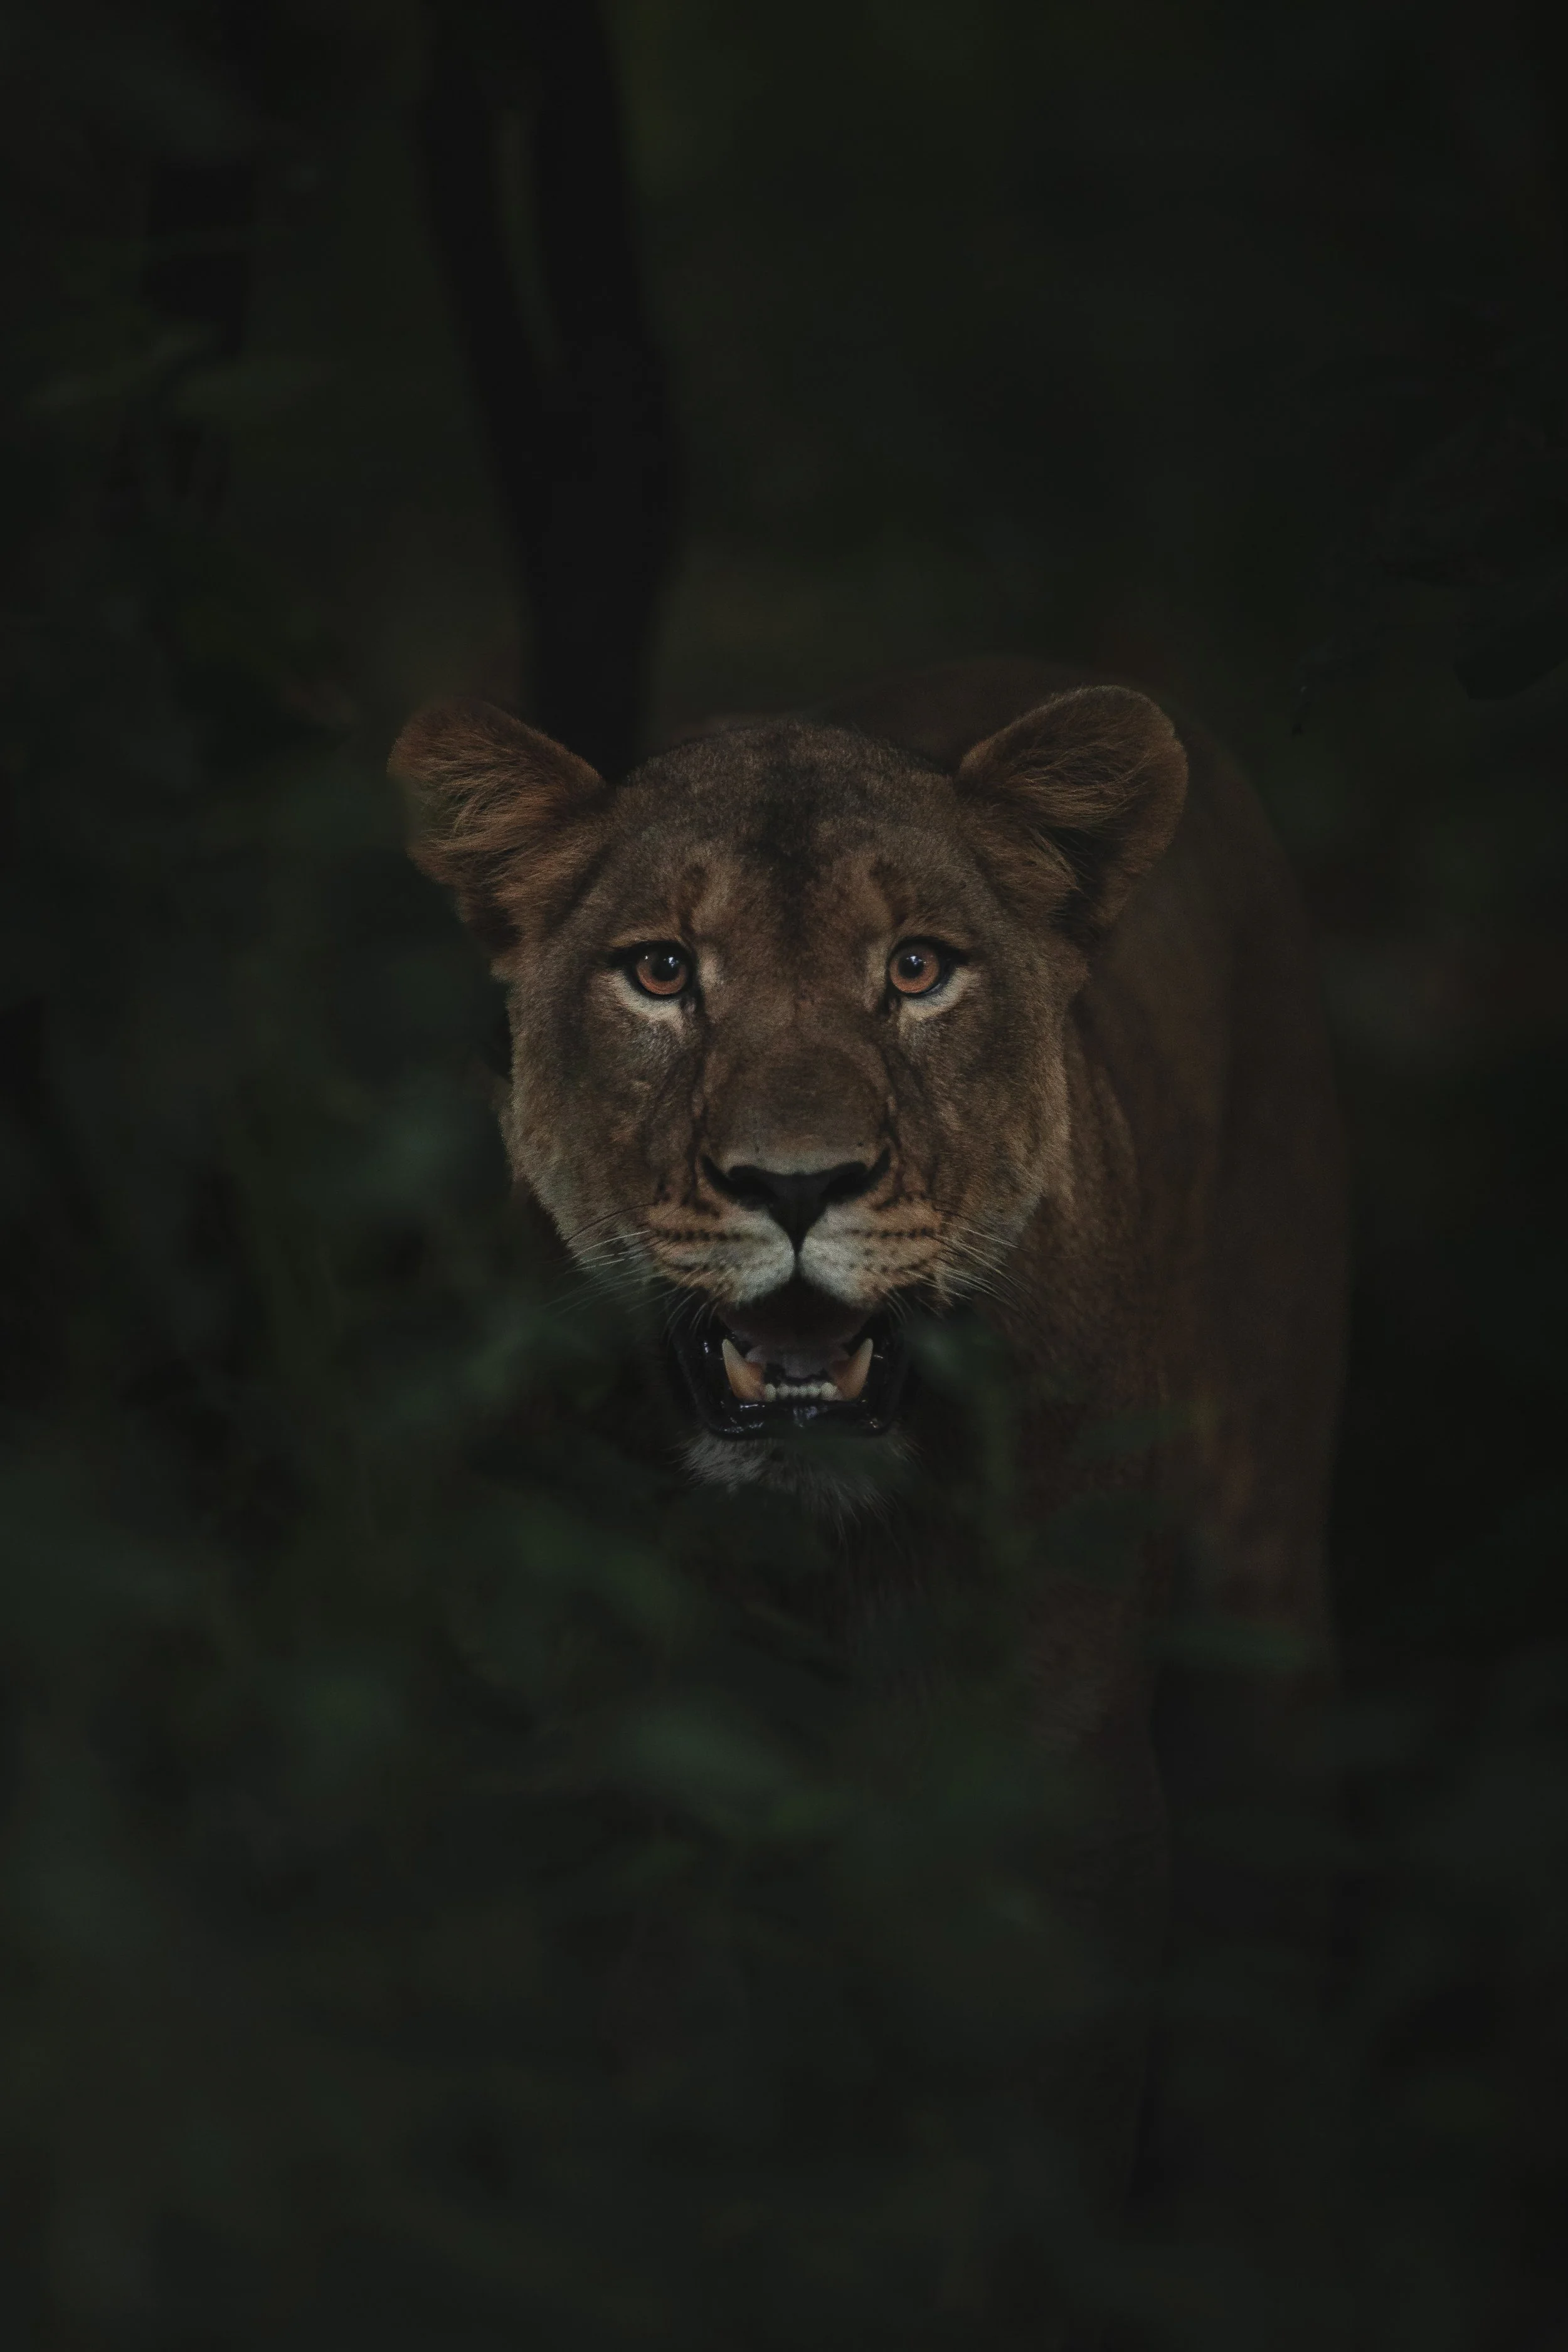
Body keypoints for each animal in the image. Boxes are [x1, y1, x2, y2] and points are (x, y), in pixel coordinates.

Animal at [390, 656, 1345, 2243]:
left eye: (915, 970)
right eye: (661, 972)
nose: (796, 1184)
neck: (812, 1561)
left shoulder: (1058, 1830)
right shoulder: (639, 1828)